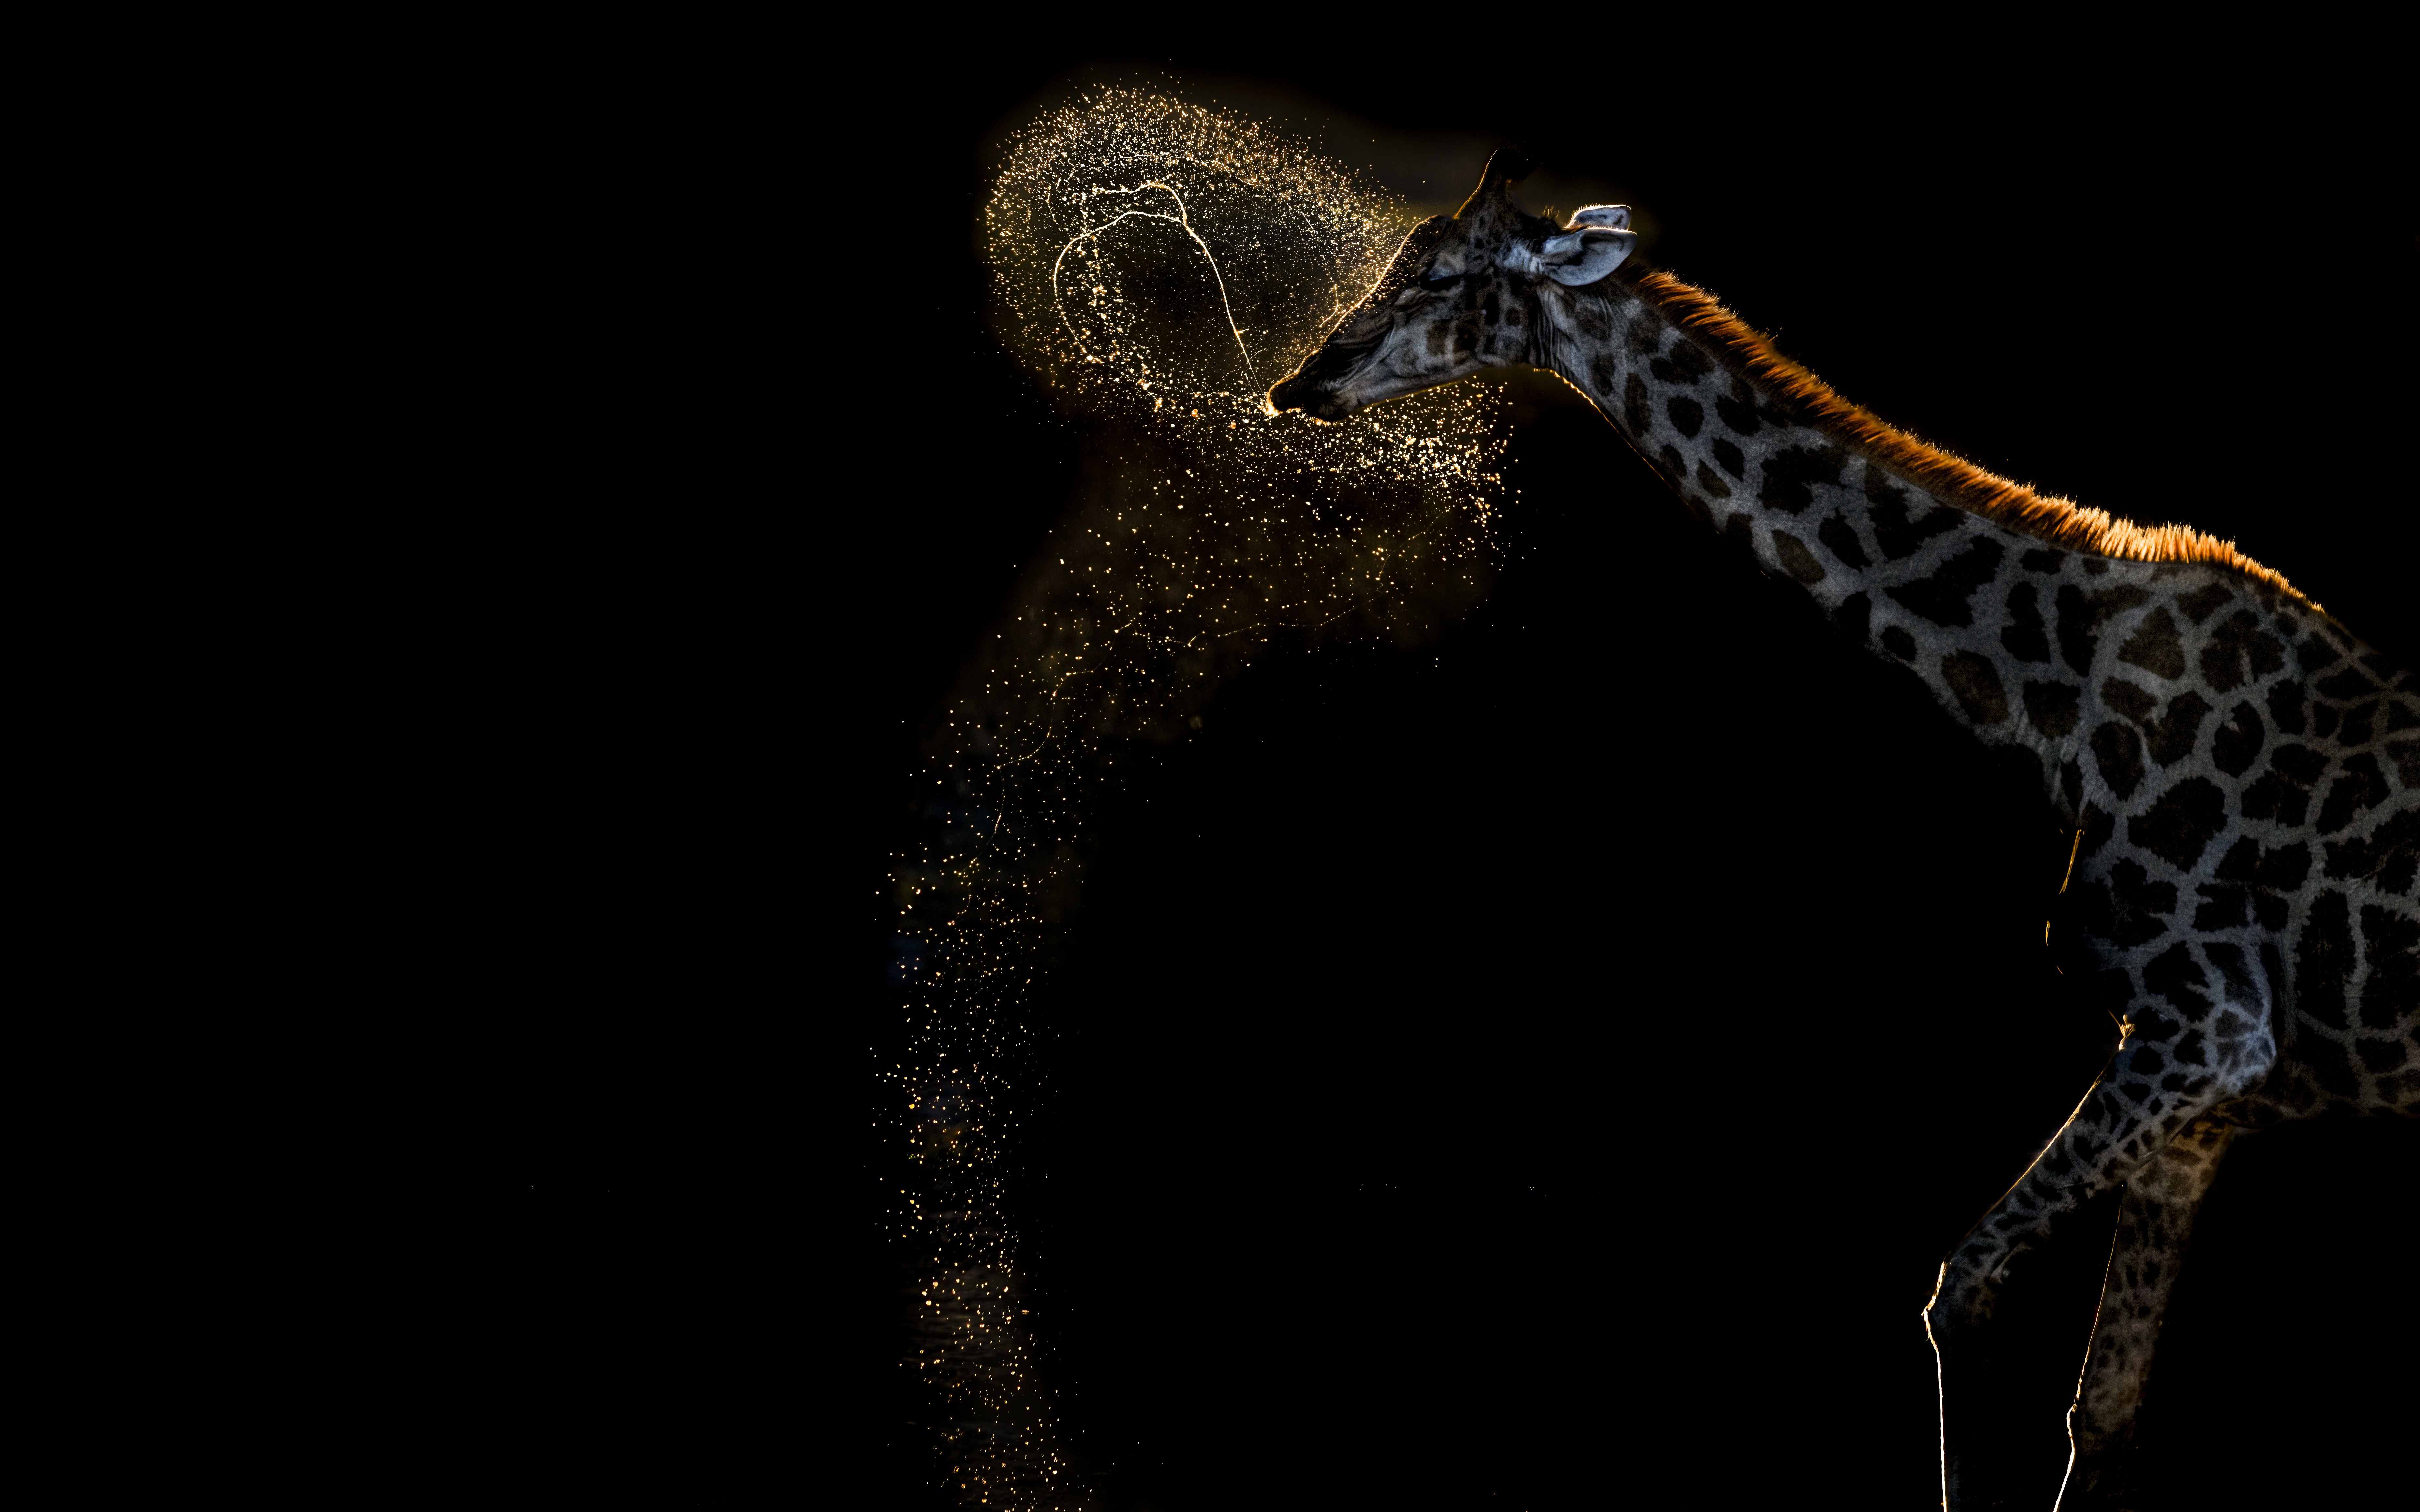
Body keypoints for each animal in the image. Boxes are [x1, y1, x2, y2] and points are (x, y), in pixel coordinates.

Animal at [1268, 150, 2418, 1511]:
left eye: (1441, 276)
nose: (1301, 381)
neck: (2051, 696)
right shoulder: (2209, 1093)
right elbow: (2100, 1407)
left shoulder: (2206, 1027)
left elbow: (1960, 1291)